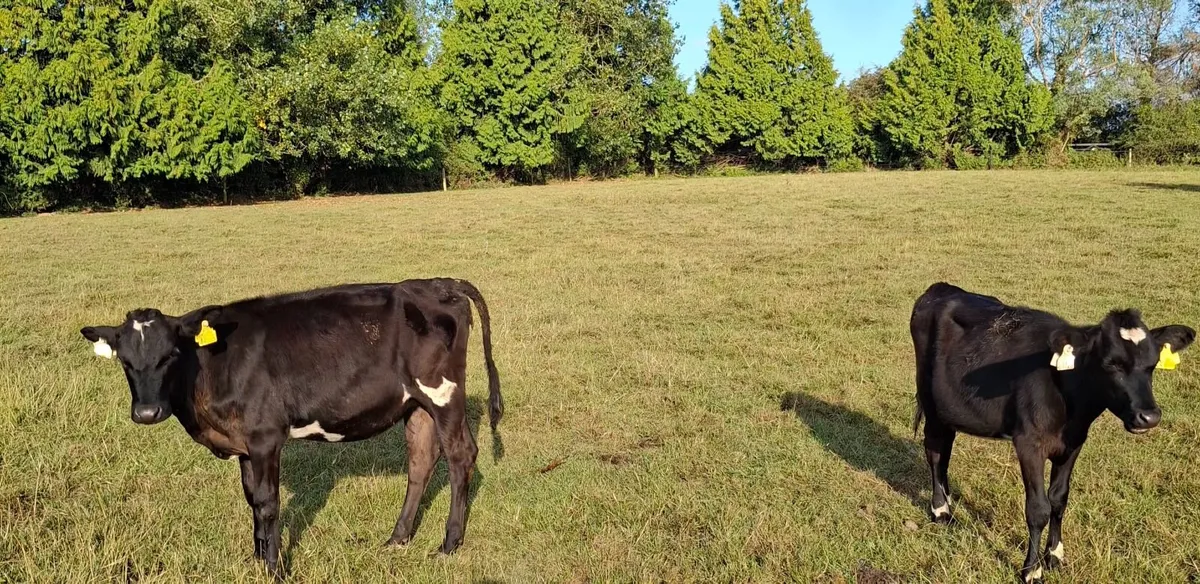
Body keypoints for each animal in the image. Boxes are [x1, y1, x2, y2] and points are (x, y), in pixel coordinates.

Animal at [79, 278, 503, 578]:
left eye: (170, 354)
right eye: (125, 360)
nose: (147, 412)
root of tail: (438, 283)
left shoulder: (266, 437)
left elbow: (269, 503)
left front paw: (274, 567)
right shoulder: (245, 444)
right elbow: (252, 499)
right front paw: (256, 558)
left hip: (443, 393)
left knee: (461, 456)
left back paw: (449, 544)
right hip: (415, 403)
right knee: (421, 461)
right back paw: (397, 539)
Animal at [910, 282, 1193, 584]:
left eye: (1152, 364)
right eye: (1111, 364)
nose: (1149, 417)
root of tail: (942, 288)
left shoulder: (1073, 443)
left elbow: (1059, 499)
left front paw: (1055, 554)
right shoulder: (1029, 445)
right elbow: (1038, 509)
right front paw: (1032, 570)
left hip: (950, 411)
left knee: (945, 451)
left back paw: (948, 500)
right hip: (931, 404)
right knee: (935, 452)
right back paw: (940, 510)